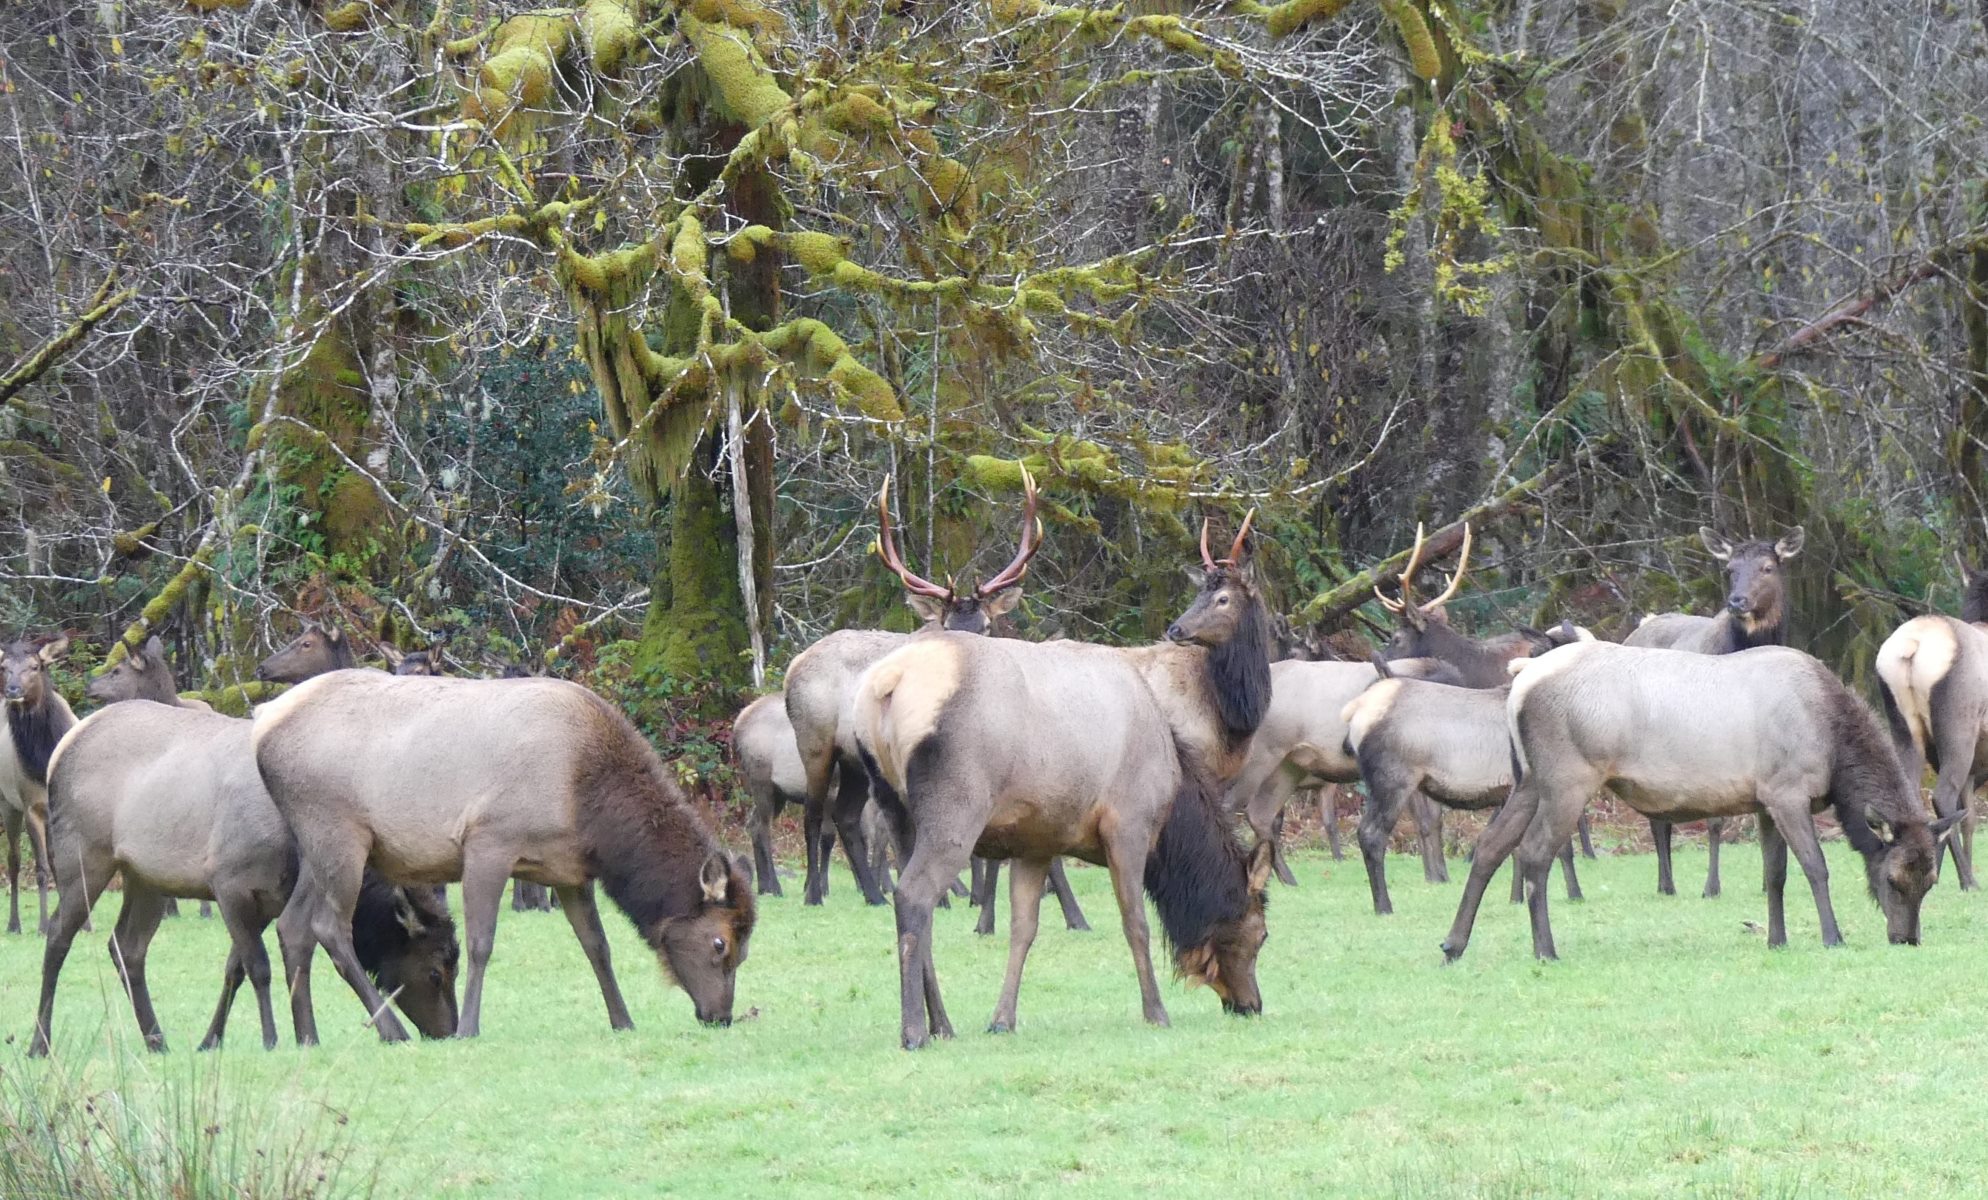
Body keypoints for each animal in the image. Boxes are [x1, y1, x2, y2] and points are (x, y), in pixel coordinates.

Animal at [850, 515, 1273, 1050]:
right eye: (1261, 933)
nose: (1251, 1005)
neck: (1173, 794)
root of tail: (885, 688)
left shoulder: (1036, 841)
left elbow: (1024, 928)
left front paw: (1002, 1018)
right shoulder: (1128, 824)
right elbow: (1135, 921)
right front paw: (1156, 1011)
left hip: (895, 805)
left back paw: (943, 1023)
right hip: (956, 807)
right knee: (913, 896)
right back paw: (913, 1031)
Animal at [1439, 640, 1955, 963]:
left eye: (1931, 881)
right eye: (1892, 880)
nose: (1906, 939)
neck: (1834, 747)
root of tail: (1519, 685)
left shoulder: (1765, 800)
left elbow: (1775, 875)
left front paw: (1777, 940)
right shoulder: (1788, 791)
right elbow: (1815, 867)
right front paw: (1833, 936)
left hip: (1528, 779)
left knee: (1489, 847)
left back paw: (1453, 944)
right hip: (1567, 778)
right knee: (1533, 853)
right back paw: (1545, 949)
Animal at [1624, 526, 1805, 899]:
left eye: (1768, 567)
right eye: (1729, 569)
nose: (1737, 601)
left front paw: (1767, 883)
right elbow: (1715, 818)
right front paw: (1711, 887)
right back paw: (1667, 884)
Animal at [1875, 557, 1988, 891]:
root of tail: (1914, 645)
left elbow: (1969, 819)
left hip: (1903, 727)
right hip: (1958, 728)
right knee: (1942, 797)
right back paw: (1968, 880)